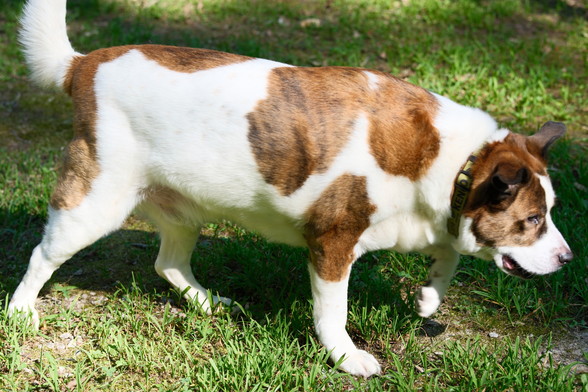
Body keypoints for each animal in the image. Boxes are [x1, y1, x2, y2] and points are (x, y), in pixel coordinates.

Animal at [10, 0, 576, 376]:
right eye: (532, 221)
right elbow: (333, 312)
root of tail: (83, 64)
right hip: (94, 203)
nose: (568, 258)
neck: (456, 158)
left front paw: (429, 297)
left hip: (184, 209)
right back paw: (20, 312)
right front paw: (347, 356)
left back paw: (209, 302)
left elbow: (451, 255)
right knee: (43, 255)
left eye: (550, 211)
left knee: (166, 262)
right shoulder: (332, 243)